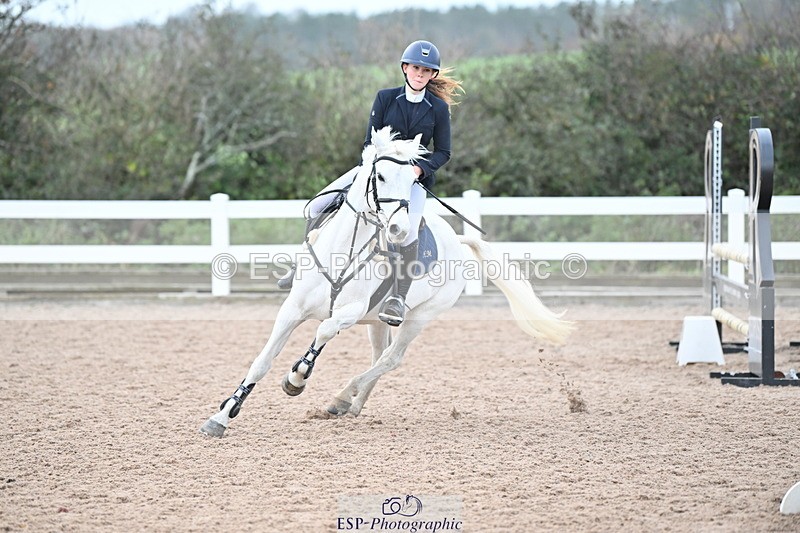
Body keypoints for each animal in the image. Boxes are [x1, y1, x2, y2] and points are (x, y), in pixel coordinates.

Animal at [200, 126, 572, 437]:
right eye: (378, 175)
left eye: (412, 178)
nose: (398, 229)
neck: (343, 251)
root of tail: (457, 239)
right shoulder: (292, 308)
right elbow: (261, 362)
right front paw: (222, 416)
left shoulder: (349, 311)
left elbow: (323, 331)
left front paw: (296, 378)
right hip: (377, 322)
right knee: (379, 356)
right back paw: (351, 403)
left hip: (420, 316)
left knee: (392, 358)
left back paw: (341, 396)